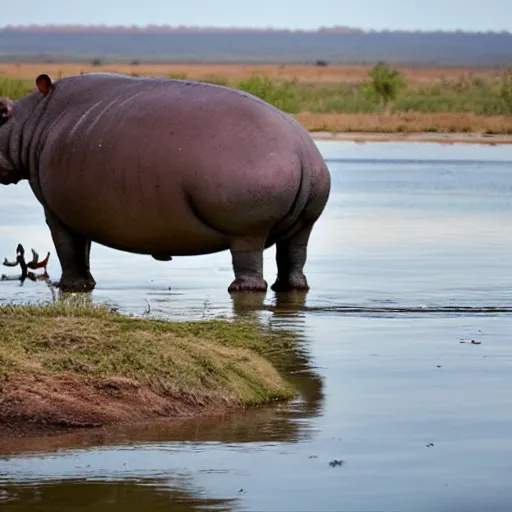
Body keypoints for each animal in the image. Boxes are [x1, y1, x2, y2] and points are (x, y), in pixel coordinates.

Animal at [0, 74, 330, 294]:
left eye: (1, 111)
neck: (33, 118)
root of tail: (302, 152)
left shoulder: (55, 211)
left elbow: (67, 248)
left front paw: (69, 286)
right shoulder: (78, 212)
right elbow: (84, 249)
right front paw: (86, 285)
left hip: (247, 229)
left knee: (249, 265)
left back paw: (241, 289)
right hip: (304, 225)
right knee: (294, 259)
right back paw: (289, 288)